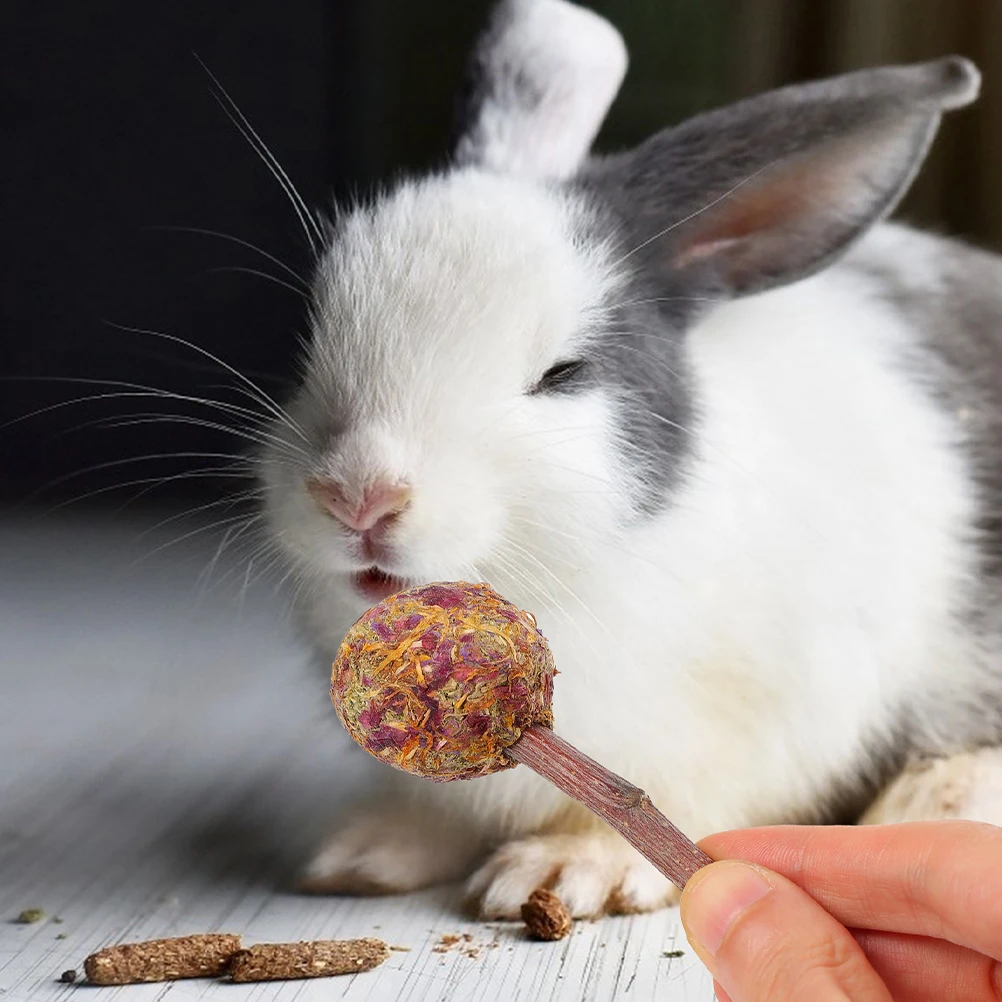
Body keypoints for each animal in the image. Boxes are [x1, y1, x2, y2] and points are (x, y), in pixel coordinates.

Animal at [260, 0, 1002, 919]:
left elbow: (657, 800)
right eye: (311, 343)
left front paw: (566, 871)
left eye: (563, 373)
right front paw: (364, 856)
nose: (358, 496)